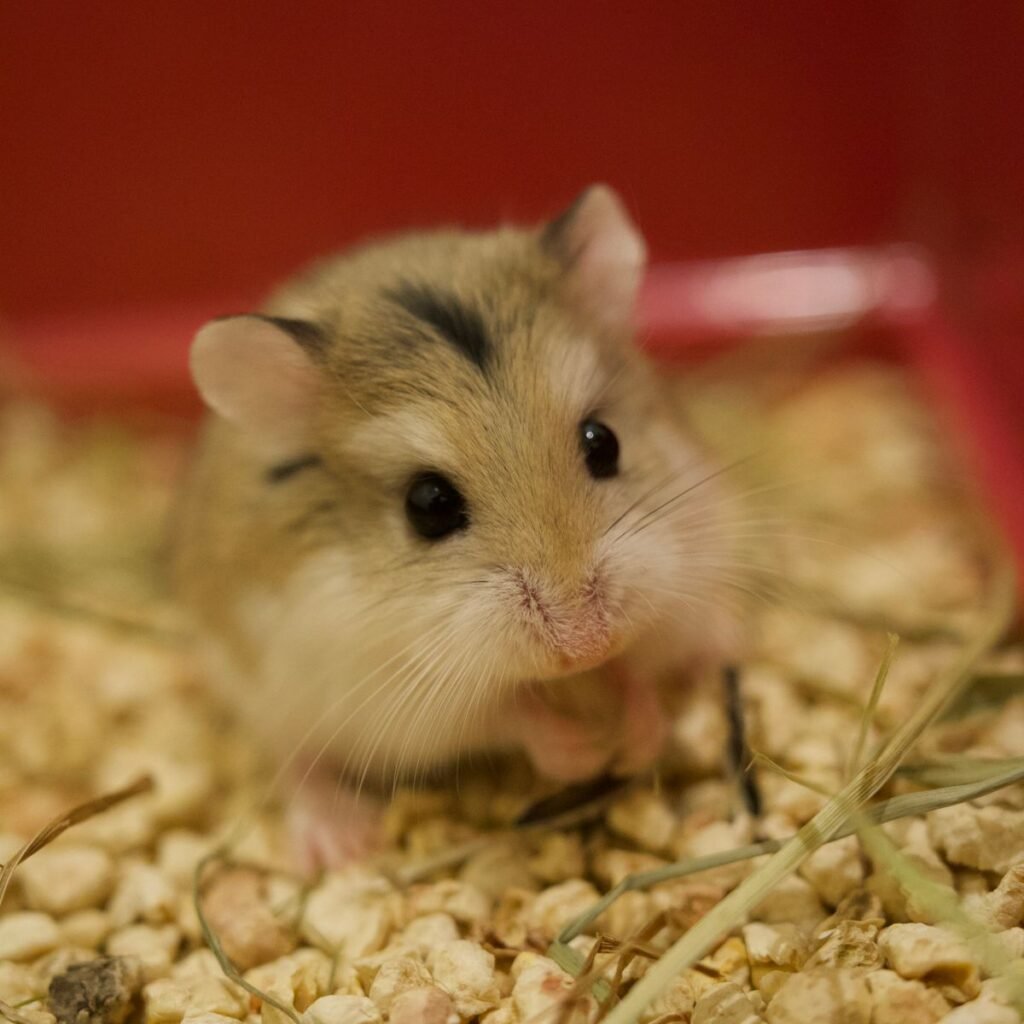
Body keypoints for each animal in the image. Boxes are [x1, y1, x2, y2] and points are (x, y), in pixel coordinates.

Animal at [172, 185, 743, 859]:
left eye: (604, 442)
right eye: (428, 505)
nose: (586, 645)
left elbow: (636, 676)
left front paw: (635, 740)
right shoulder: (401, 694)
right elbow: (505, 716)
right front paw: (584, 752)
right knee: (294, 761)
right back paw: (343, 844)